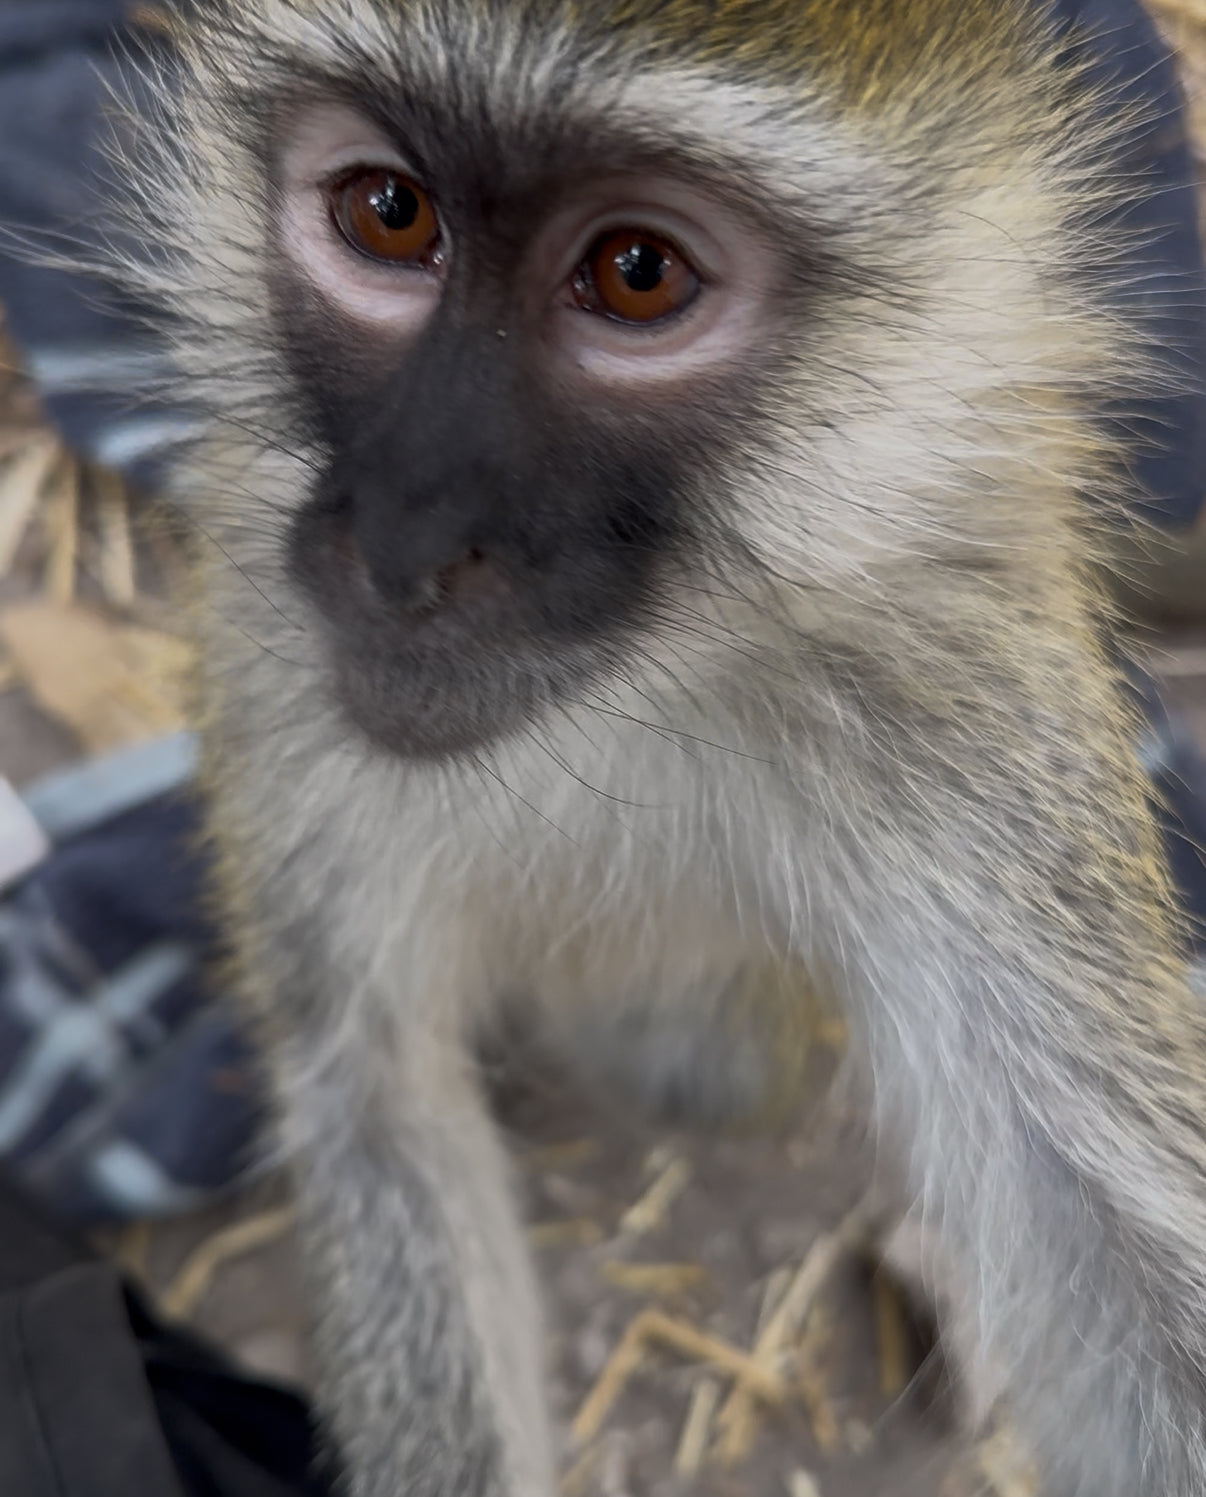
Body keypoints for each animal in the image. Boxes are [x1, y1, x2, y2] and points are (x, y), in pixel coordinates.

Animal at [106, 0, 1206, 1492]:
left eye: (636, 275)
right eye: (390, 214)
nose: (399, 539)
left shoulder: (965, 686)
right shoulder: (267, 637)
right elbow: (378, 1093)